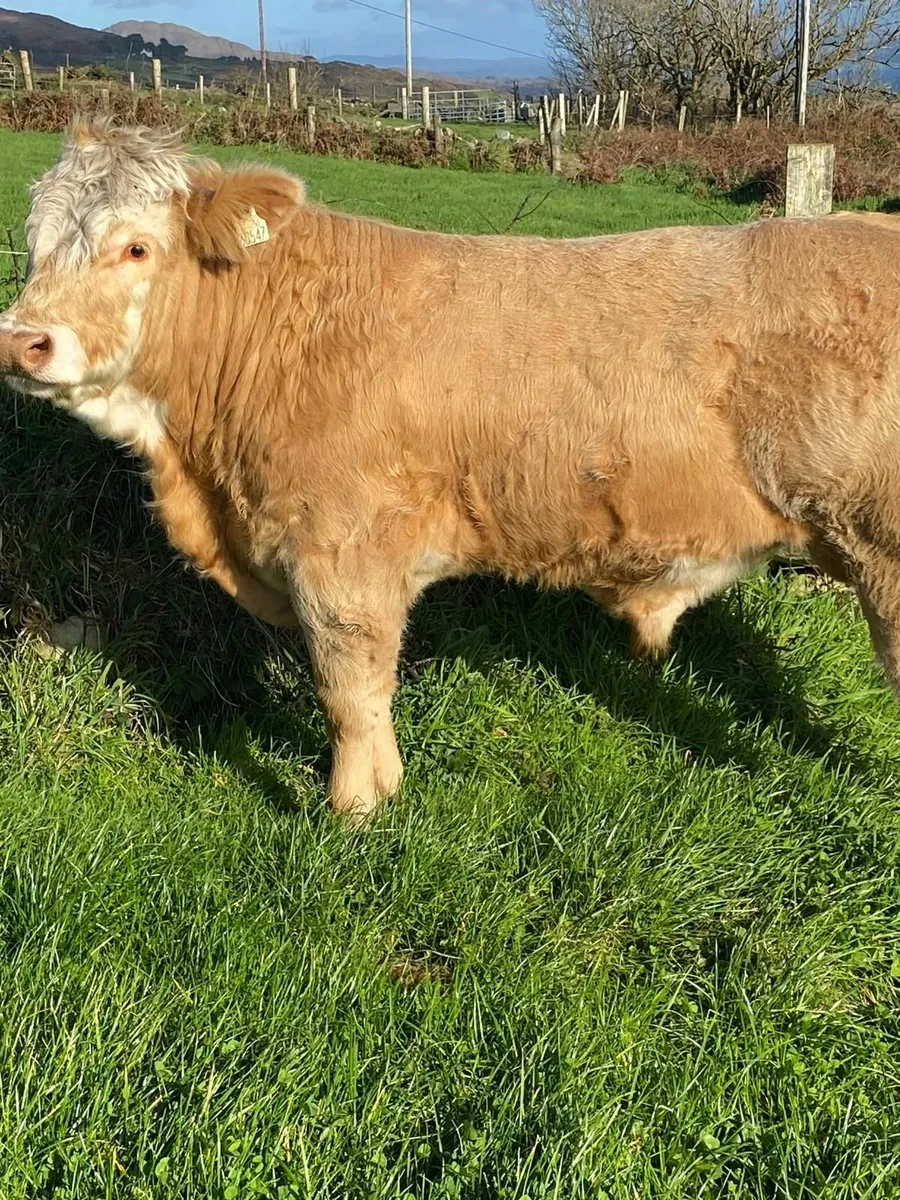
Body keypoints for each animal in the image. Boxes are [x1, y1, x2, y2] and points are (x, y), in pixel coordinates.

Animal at [2, 117, 899, 822]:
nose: (23, 340)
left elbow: (349, 693)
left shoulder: (341, 557)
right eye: (36, 244)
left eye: (136, 246)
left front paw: (355, 811)